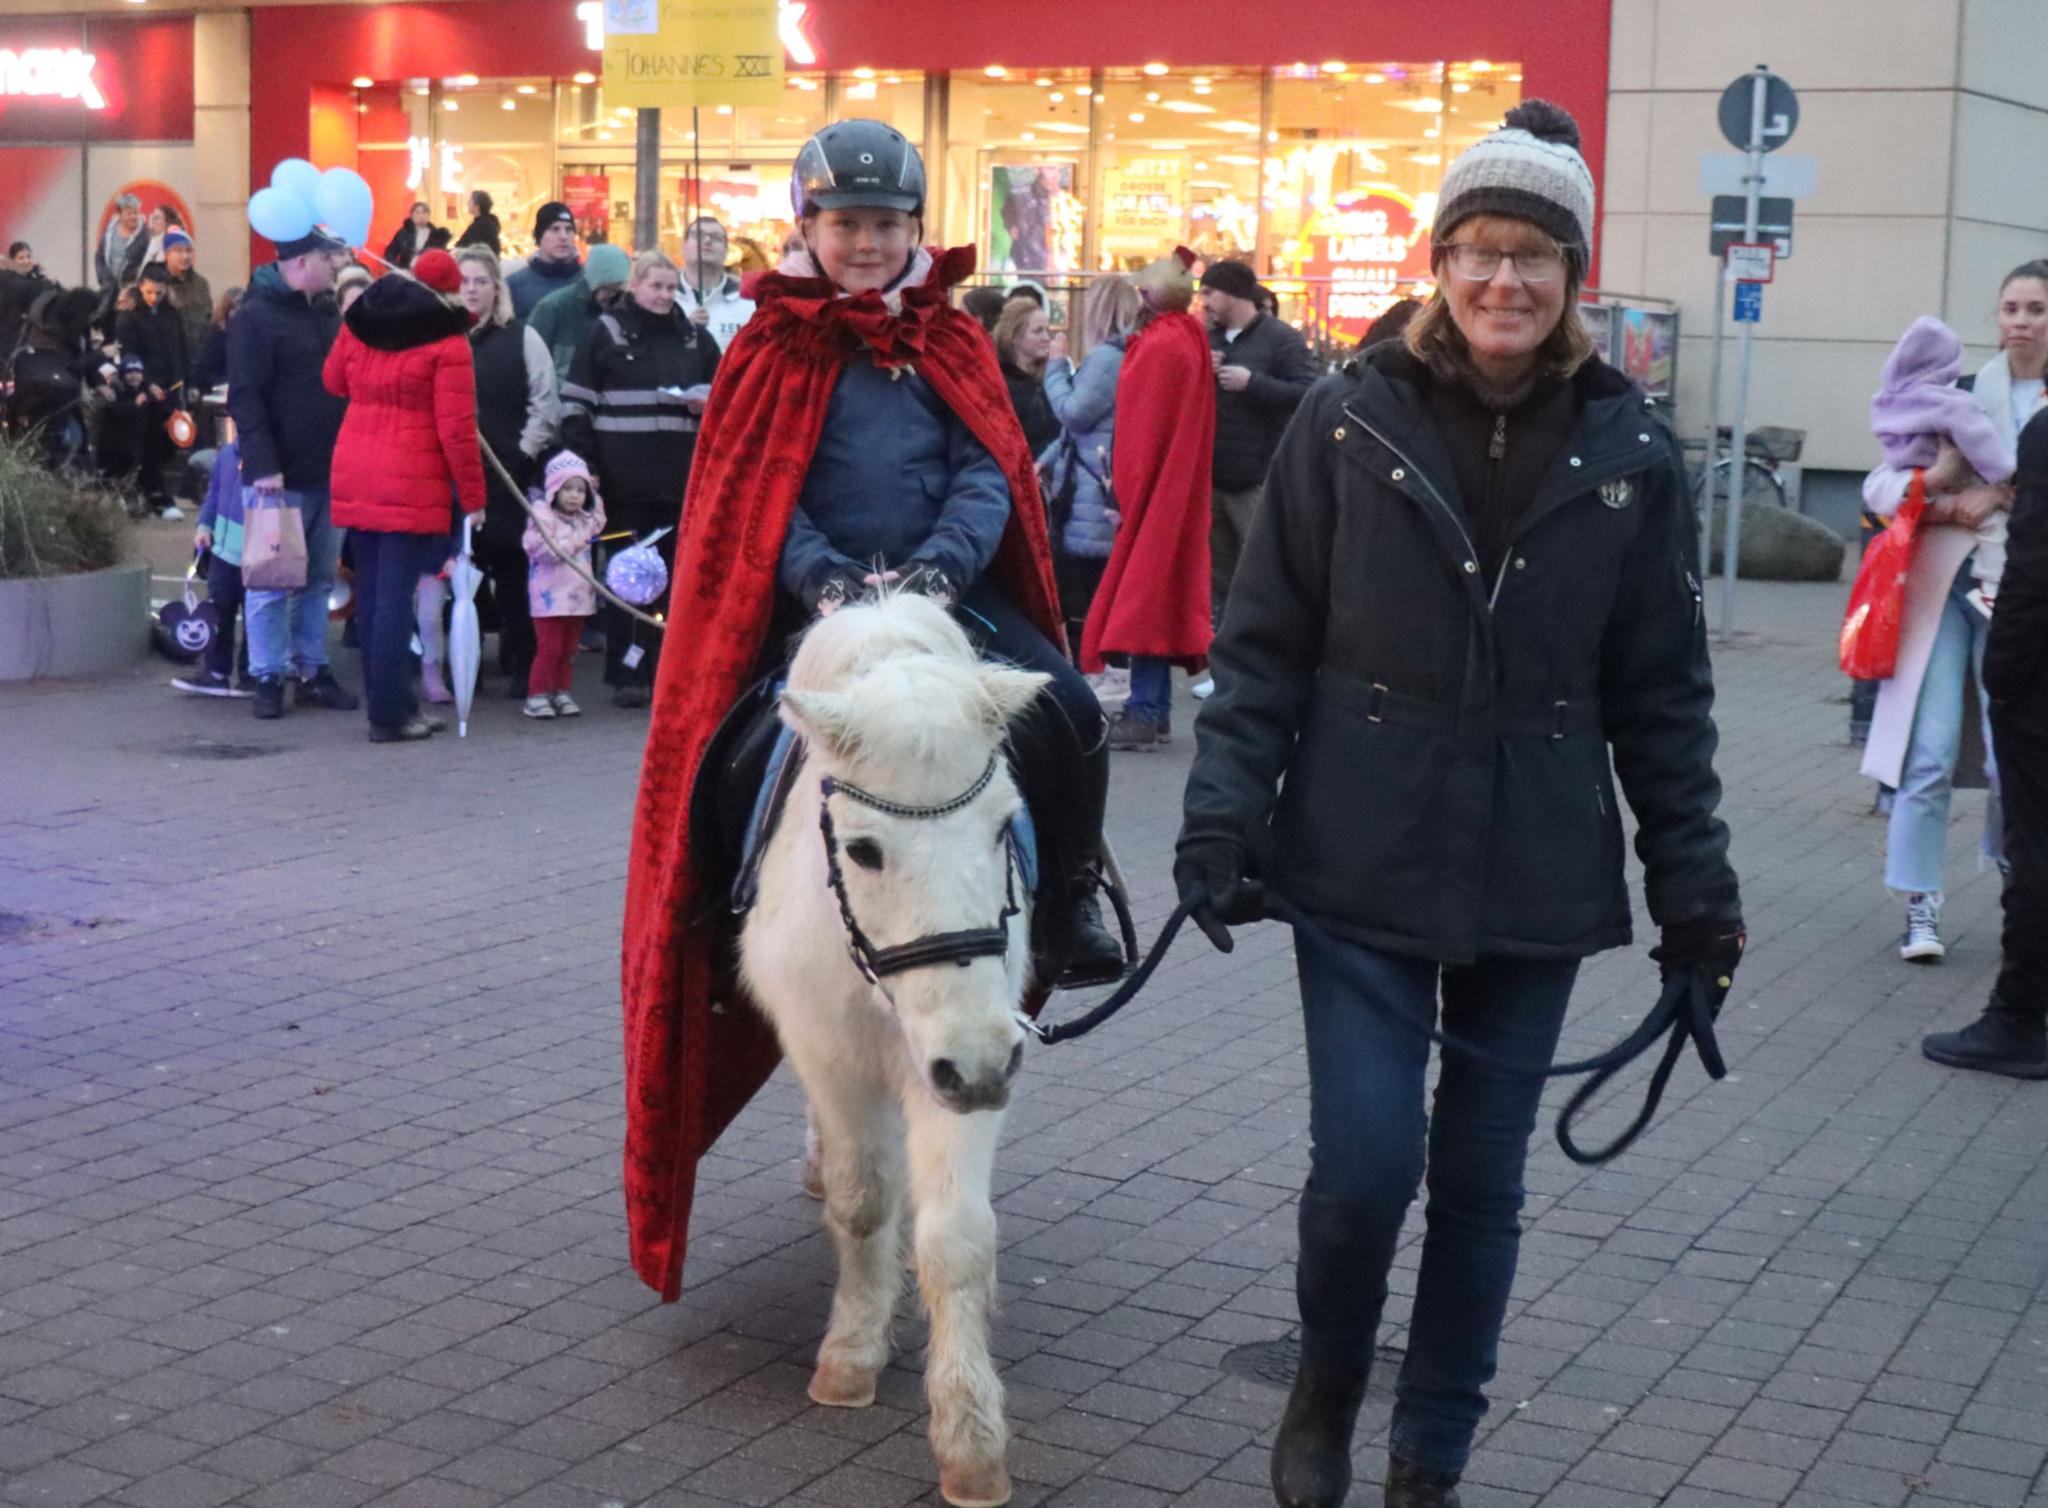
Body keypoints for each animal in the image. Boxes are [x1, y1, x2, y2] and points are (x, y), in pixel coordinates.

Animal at [741, 590, 1048, 1508]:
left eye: (1002, 826)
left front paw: (971, 1440)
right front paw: (849, 1358)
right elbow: (863, 1200)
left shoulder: (965, 1060)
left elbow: (956, 1237)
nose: (976, 1067)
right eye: (864, 848)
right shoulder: (833, 1056)